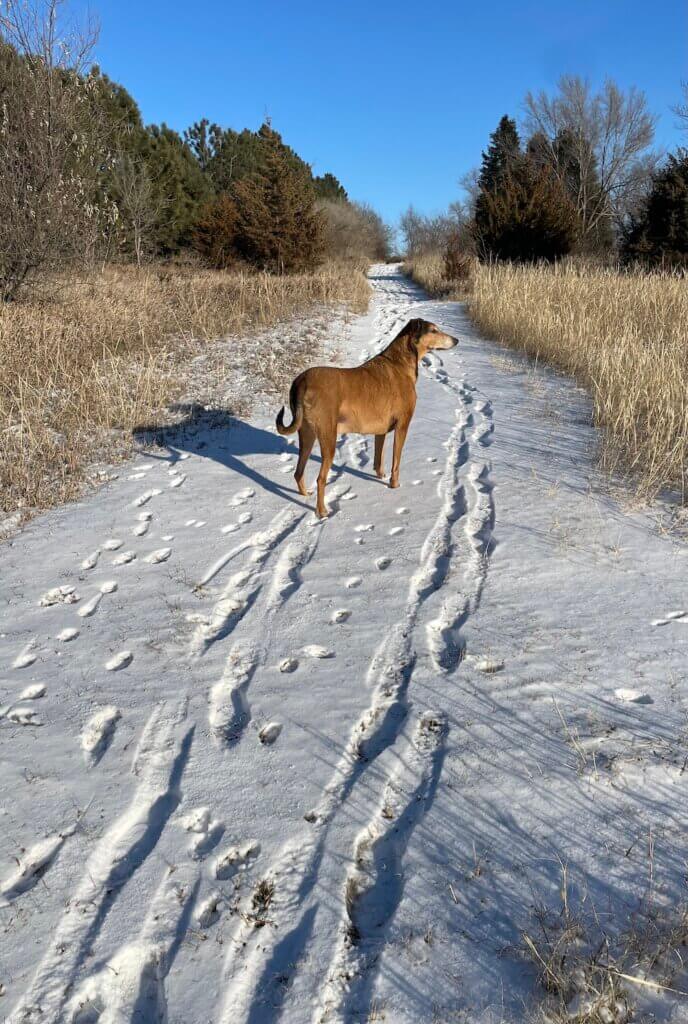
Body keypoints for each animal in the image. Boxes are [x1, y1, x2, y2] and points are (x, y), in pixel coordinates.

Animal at [274, 317, 456, 516]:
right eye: (433, 330)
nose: (456, 340)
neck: (401, 361)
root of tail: (301, 382)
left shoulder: (381, 430)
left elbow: (379, 457)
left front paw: (380, 476)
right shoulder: (403, 425)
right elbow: (396, 462)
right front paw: (394, 485)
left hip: (307, 434)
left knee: (298, 472)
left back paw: (305, 495)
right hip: (328, 437)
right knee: (321, 479)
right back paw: (322, 511)